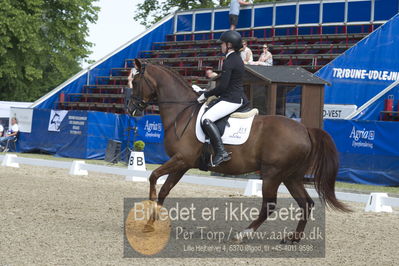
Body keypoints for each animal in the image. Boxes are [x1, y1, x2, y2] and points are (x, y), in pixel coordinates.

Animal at [129, 58, 350, 243]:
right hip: (291, 176)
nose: (131, 109)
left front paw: (149, 211)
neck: (182, 112)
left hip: (272, 174)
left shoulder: (181, 159)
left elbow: (153, 177)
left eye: (136, 81)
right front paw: (150, 223)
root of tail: (305, 130)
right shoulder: (183, 164)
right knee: (306, 203)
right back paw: (293, 238)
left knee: (269, 205)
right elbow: (165, 190)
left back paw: (243, 234)